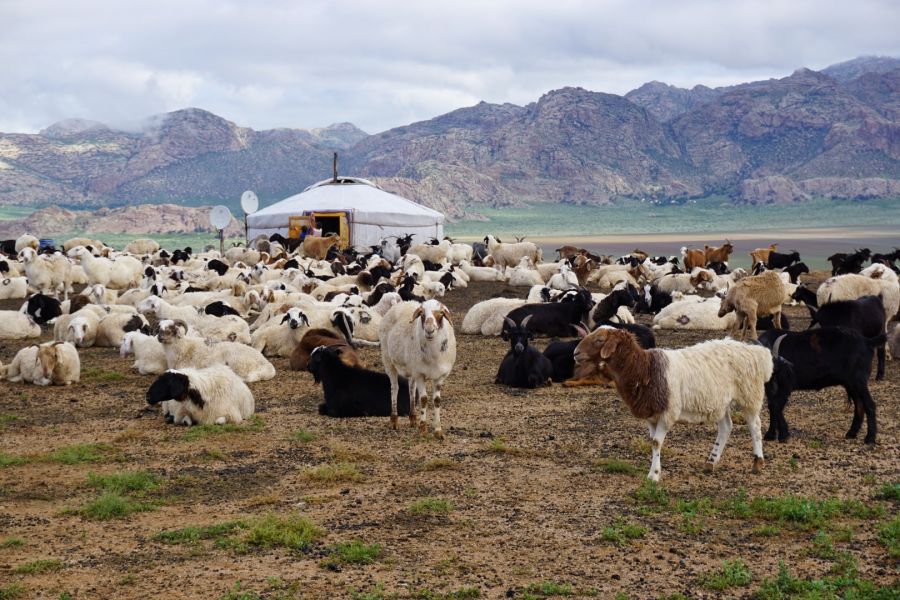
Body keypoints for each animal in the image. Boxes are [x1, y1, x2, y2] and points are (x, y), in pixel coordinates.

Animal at [380, 298, 458, 436]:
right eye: (422, 314)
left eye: (441, 313)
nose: (429, 330)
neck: (433, 355)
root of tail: (402, 303)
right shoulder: (420, 374)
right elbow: (423, 399)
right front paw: (423, 429)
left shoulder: (440, 376)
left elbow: (437, 400)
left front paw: (438, 430)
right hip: (388, 360)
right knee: (394, 388)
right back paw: (394, 420)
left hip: (412, 367)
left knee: (411, 389)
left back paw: (413, 417)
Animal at [572, 326, 768, 480]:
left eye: (599, 340)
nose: (575, 353)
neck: (644, 369)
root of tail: (755, 351)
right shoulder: (651, 415)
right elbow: (652, 442)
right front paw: (654, 471)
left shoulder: (668, 413)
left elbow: (657, 443)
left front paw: (654, 475)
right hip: (719, 402)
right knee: (726, 427)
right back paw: (711, 462)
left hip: (749, 395)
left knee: (755, 425)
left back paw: (757, 463)